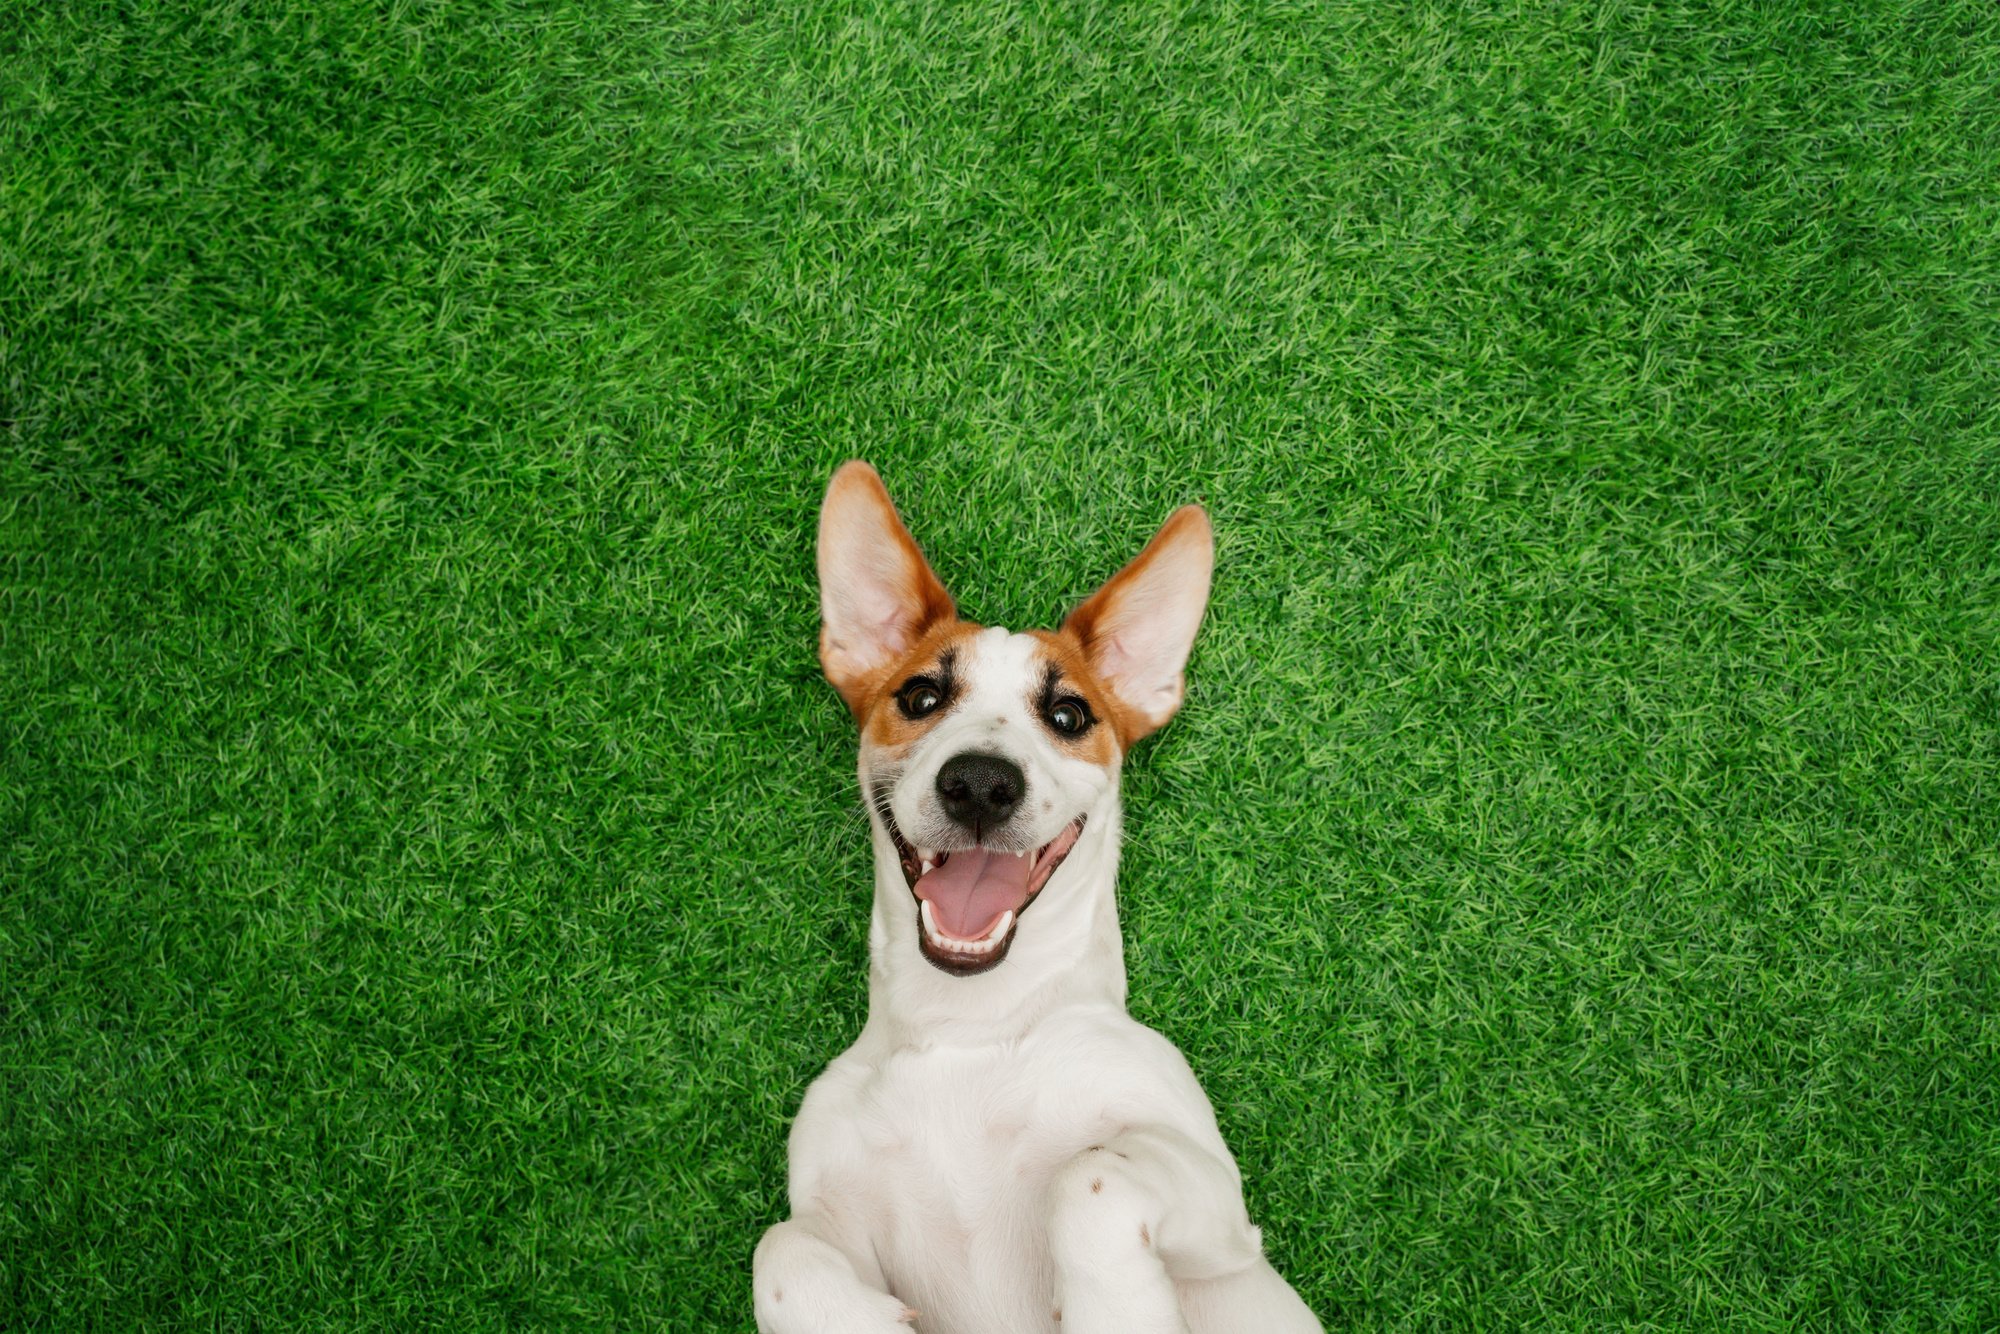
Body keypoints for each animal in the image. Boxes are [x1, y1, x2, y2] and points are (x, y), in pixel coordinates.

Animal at [756, 462, 1320, 1334]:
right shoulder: (831, 1209)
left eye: (1067, 713)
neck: (969, 1029)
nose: (981, 783)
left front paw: (1120, 1308)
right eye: (920, 698)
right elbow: (779, 1252)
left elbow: (1090, 1178)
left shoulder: (1223, 1219)